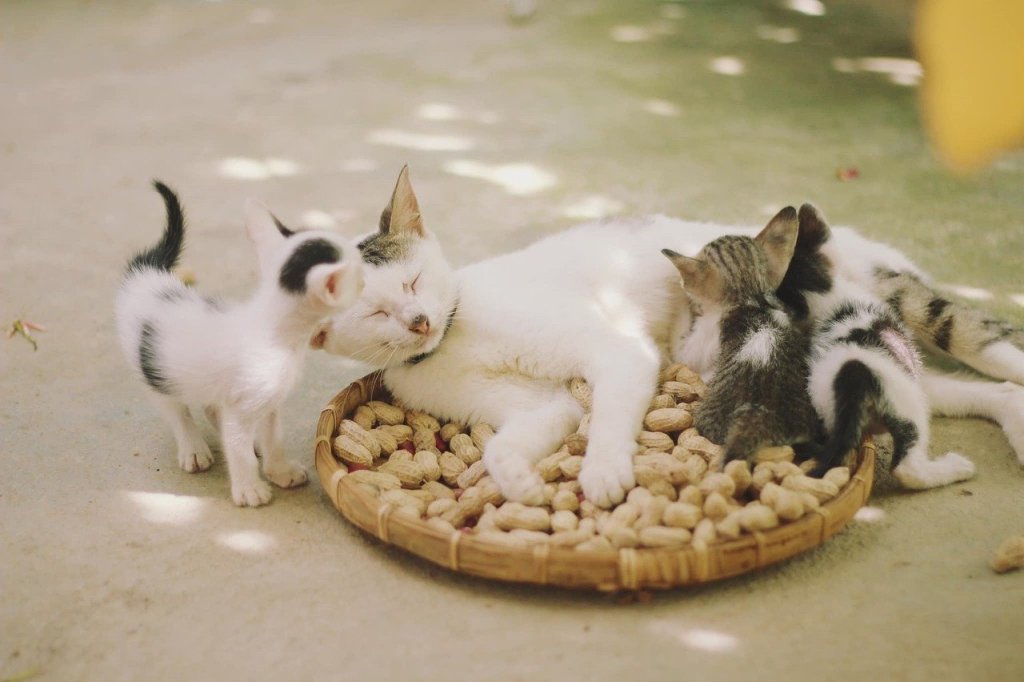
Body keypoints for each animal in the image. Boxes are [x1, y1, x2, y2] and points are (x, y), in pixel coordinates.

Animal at [115, 180, 364, 503]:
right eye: (358, 275)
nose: (365, 279)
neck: (278, 334)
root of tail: (147, 275)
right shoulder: (243, 404)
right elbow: (238, 447)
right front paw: (250, 489)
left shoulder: (270, 400)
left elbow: (273, 437)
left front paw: (279, 469)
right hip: (152, 368)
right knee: (175, 409)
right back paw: (193, 448)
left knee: (211, 407)